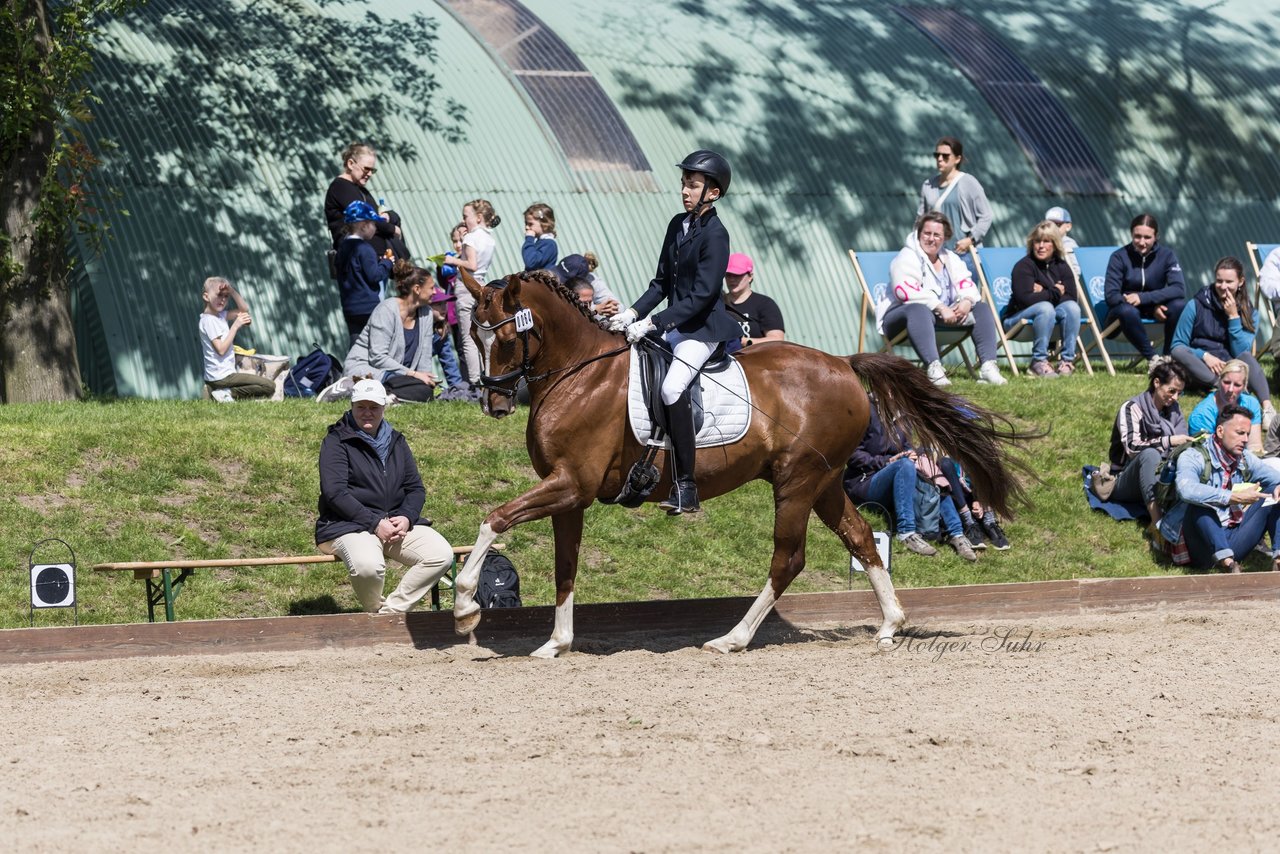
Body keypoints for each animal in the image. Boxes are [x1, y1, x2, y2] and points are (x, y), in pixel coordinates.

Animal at [455, 270, 1024, 660]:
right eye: (472, 335)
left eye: (506, 337)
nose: (494, 403)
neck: (579, 372)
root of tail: (843, 364)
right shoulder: (569, 494)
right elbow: (565, 568)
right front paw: (556, 643)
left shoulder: (570, 485)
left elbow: (495, 519)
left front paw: (465, 607)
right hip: (824, 482)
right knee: (862, 538)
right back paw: (889, 625)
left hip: (797, 482)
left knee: (788, 559)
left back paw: (732, 639)